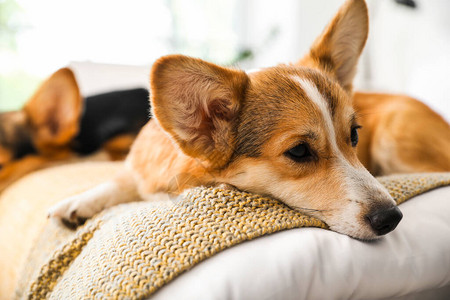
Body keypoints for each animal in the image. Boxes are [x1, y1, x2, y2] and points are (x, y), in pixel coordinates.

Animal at [49, 0, 450, 239]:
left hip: (396, 135)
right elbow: (116, 181)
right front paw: (75, 204)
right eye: (299, 152)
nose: (392, 218)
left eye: (353, 135)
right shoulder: (137, 170)